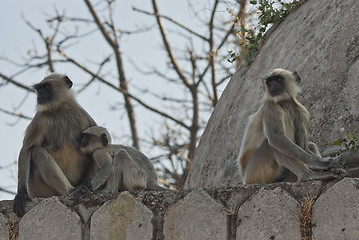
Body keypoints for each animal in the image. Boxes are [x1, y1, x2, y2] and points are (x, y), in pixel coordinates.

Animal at [13, 73, 96, 218]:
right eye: (39, 89)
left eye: (46, 87)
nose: (40, 95)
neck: (60, 108)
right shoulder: (40, 119)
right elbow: (26, 149)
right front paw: (21, 194)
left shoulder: (85, 117)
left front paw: (86, 184)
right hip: (39, 189)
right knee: (37, 152)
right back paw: (71, 191)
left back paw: (81, 188)